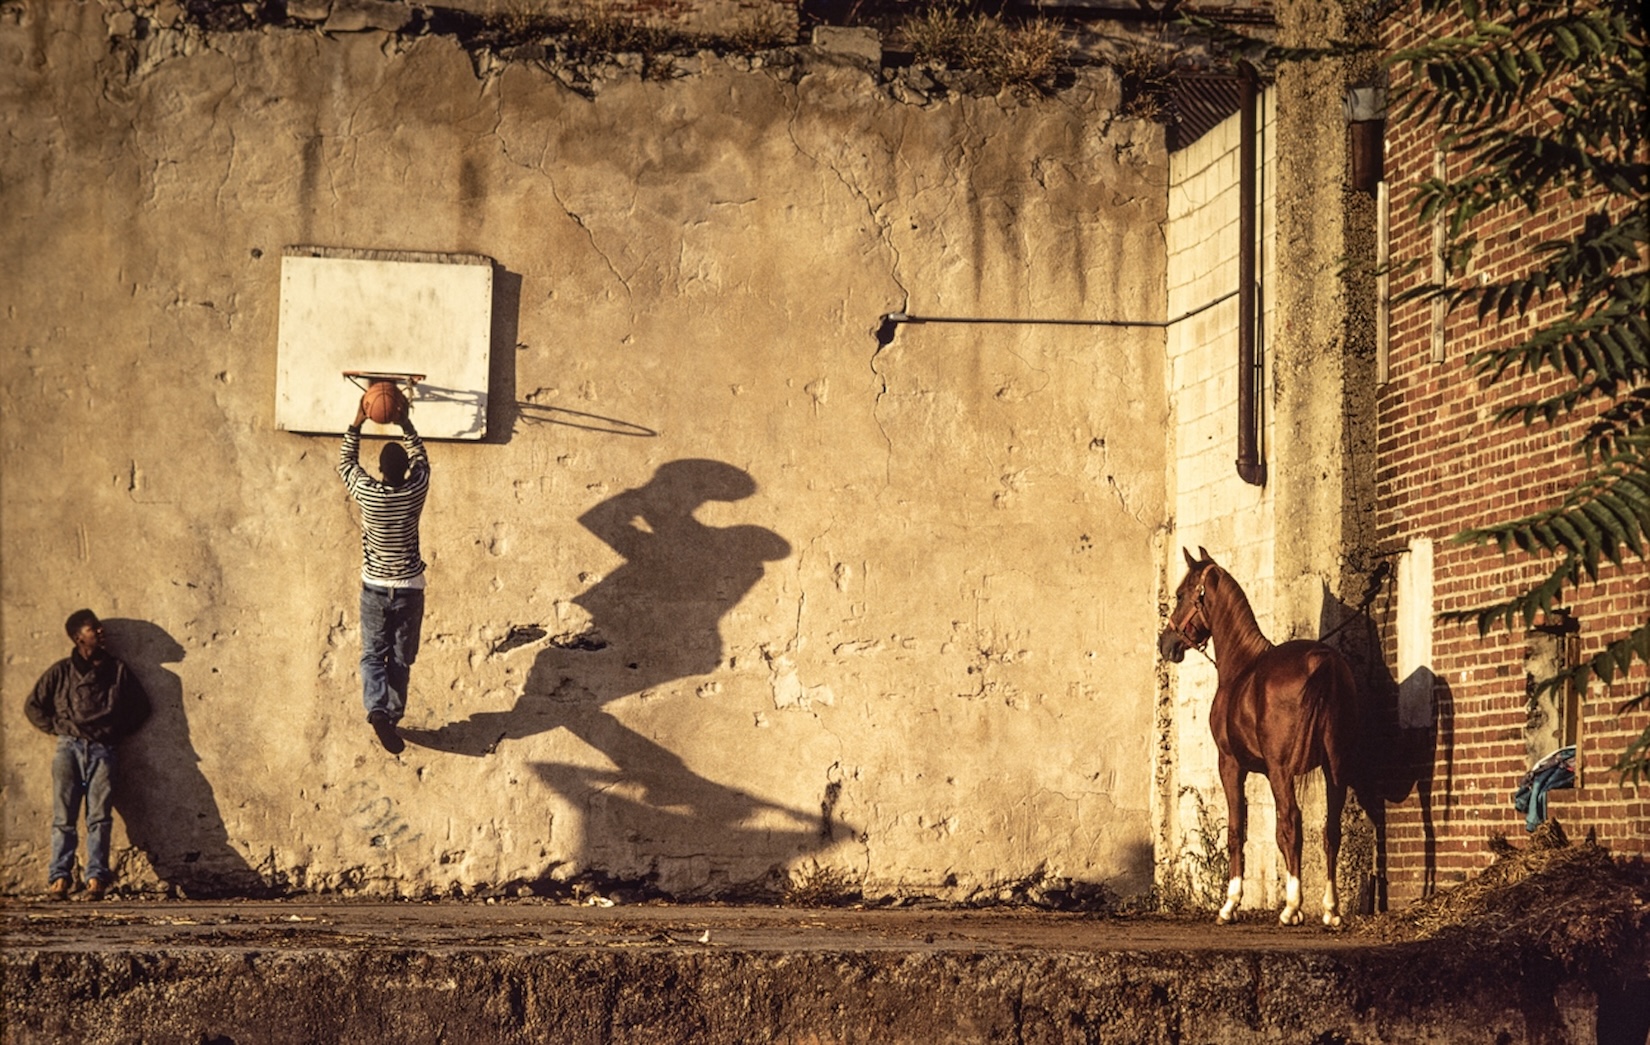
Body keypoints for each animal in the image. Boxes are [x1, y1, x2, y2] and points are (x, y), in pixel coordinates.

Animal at [1155, 544, 1359, 917]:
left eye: (1179, 594)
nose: (1166, 643)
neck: (1241, 667)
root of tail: (1323, 661)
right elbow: (1276, 835)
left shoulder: (1231, 765)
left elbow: (1239, 831)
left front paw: (1230, 903)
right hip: (1335, 767)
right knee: (1329, 830)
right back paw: (1330, 909)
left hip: (1283, 771)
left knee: (1293, 822)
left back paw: (1291, 907)